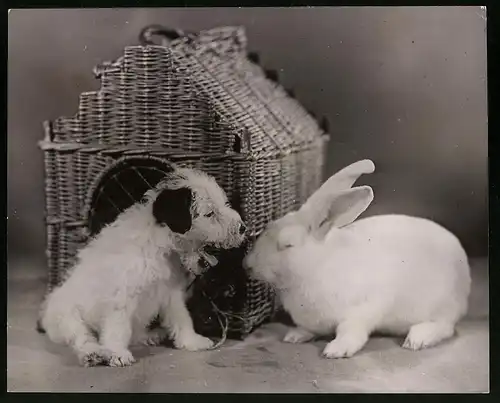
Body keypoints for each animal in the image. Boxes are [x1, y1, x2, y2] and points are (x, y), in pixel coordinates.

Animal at [39, 166, 246, 368]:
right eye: (210, 214)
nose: (243, 228)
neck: (160, 246)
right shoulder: (123, 295)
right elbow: (118, 327)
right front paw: (116, 353)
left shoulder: (171, 291)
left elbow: (182, 317)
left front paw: (191, 340)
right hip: (67, 316)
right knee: (82, 337)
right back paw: (93, 353)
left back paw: (148, 336)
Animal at [244, 161, 470, 360]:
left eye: (287, 244)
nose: (247, 265)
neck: (317, 266)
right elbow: (308, 329)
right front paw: (294, 336)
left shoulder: (364, 309)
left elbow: (350, 332)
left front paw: (335, 350)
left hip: (442, 307)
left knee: (445, 327)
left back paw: (417, 339)